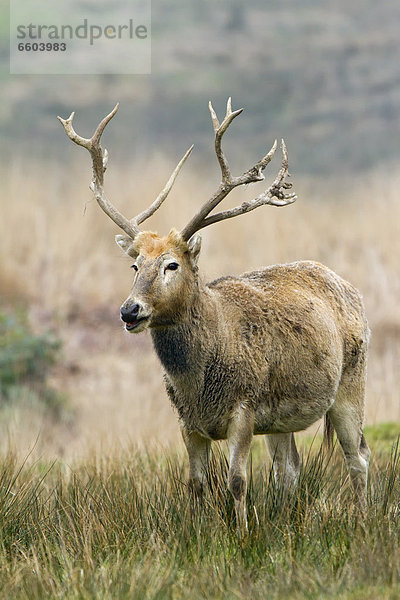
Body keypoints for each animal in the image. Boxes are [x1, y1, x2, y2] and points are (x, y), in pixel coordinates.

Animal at [57, 99, 370, 536]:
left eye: (171, 265)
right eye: (135, 266)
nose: (129, 310)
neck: (200, 382)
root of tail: (349, 287)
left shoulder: (244, 406)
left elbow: (237, 480)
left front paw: (241, 535)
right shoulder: (187, 420)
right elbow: (196, 483)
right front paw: (196, 534)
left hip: (351, 383)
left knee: (358, 456)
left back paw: (363, 520)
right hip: (281, 419)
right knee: (290, 469)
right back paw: (286, 523)